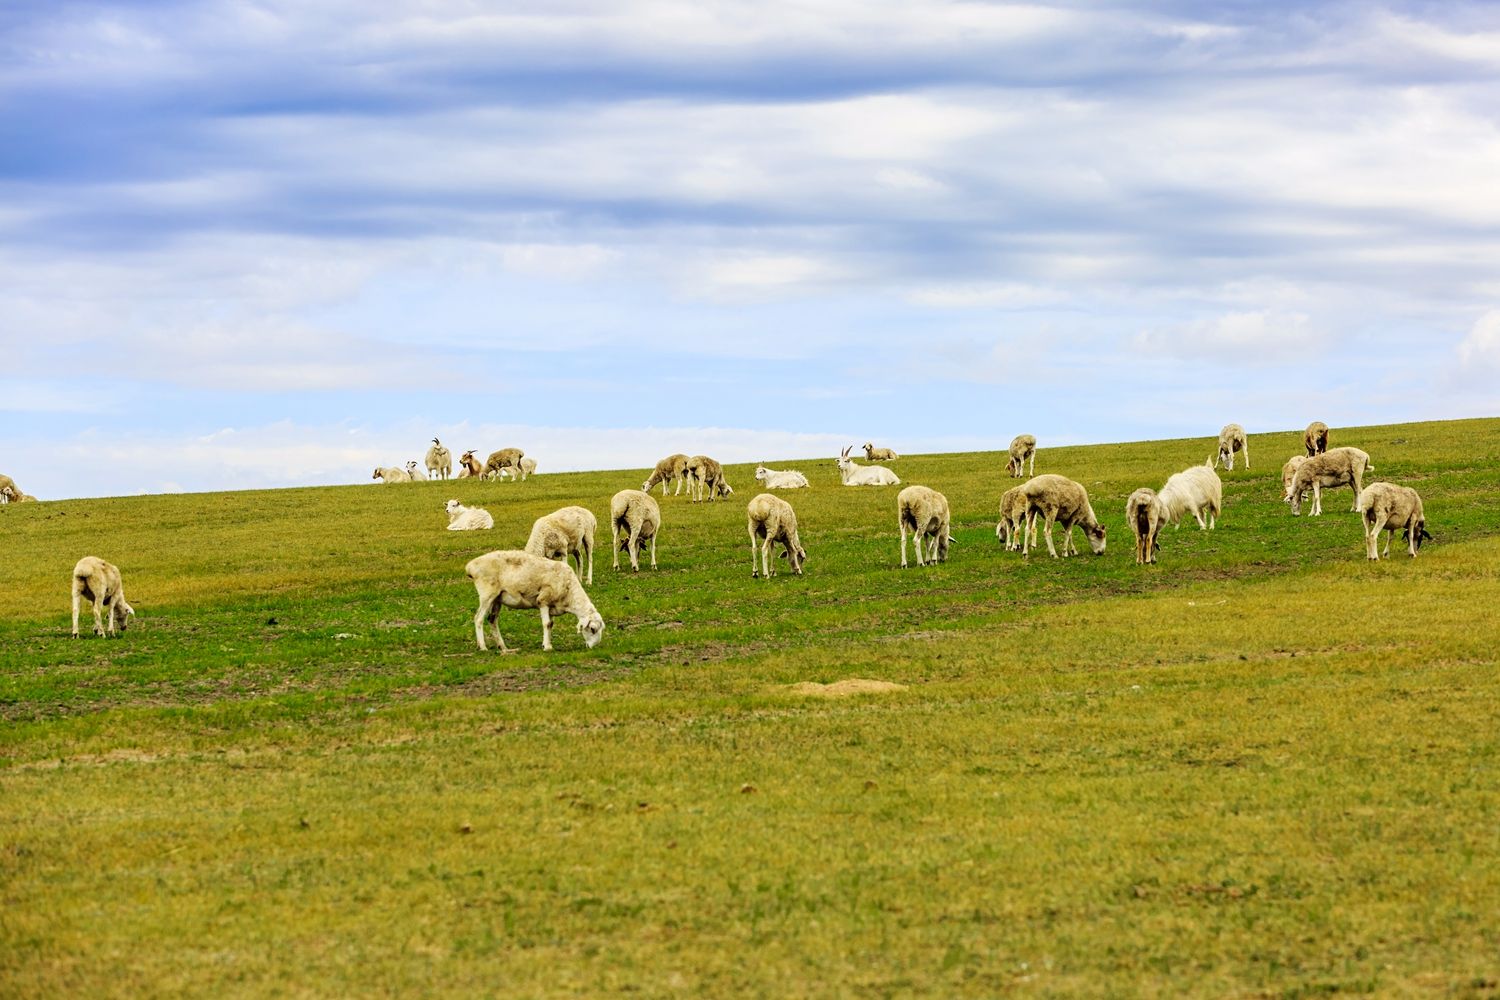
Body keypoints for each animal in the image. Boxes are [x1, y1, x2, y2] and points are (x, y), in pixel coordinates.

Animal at [462, 551, 603, 653]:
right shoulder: (543, 600)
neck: (569, 593)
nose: (592, 648)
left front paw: (547, 643)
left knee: (492, 620)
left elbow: (551, 624)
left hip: (497, 599)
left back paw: (503, 648)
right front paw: (547, 647)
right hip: (487, 594)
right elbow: (546, 624)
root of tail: (470, 566)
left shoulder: (551, 606)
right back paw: (482, 647)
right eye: (592, 629)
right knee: (478, 618)